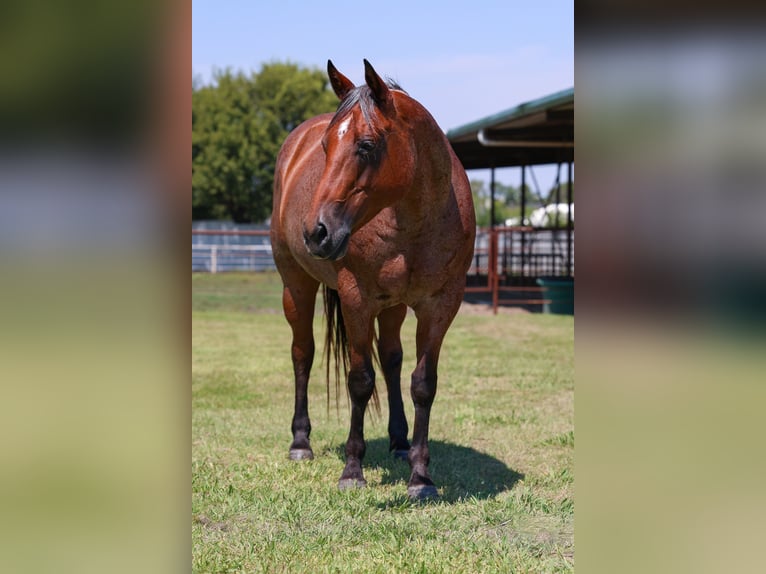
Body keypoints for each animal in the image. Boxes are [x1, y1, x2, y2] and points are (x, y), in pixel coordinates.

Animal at [270, 60, 475, 499]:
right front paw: (352, 470)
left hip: (393, 305)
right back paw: (301, 442)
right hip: (296, 286)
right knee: (302, 353)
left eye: (365, 145)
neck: (413, 220)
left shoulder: (440, 305)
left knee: (392, 359)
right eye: (326, 147)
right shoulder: (357, 300)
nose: (317, 232)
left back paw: (398, 442)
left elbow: (422, 383)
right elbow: (360, 380)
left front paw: (421, 476)